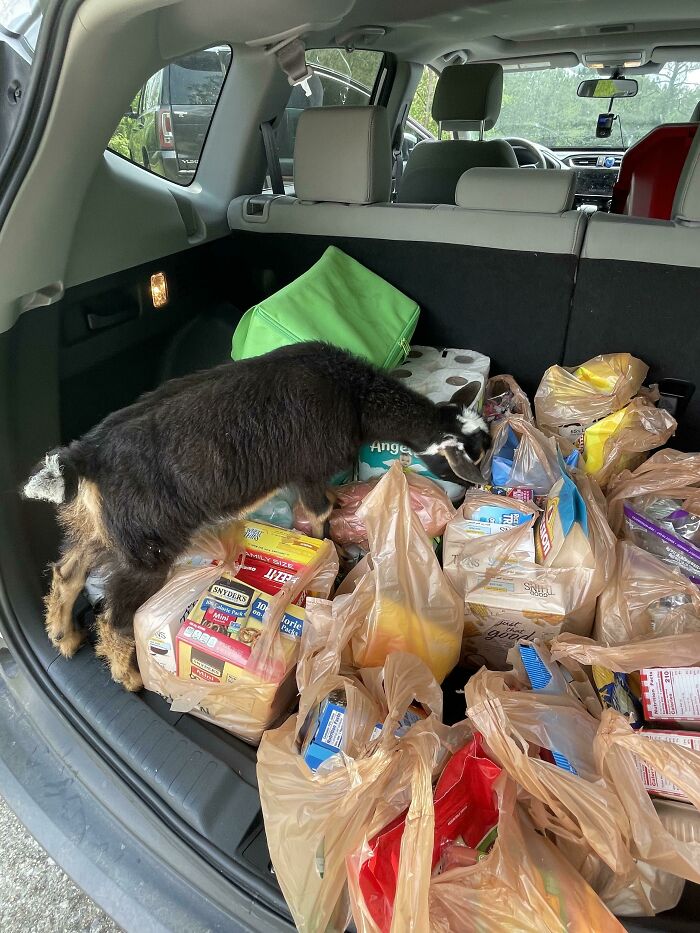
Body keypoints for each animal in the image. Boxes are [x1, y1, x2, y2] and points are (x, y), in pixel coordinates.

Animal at [23, 338, 492, 688]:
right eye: (470, 459)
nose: (486, 484)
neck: (352, 395)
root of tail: (86, 456)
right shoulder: (308, 467)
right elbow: (317, 511)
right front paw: (330, 555)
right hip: (147, 544)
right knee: (114, 619)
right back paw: (129, 676)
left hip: (109, 530)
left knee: (68, 571)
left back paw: (63, 636)